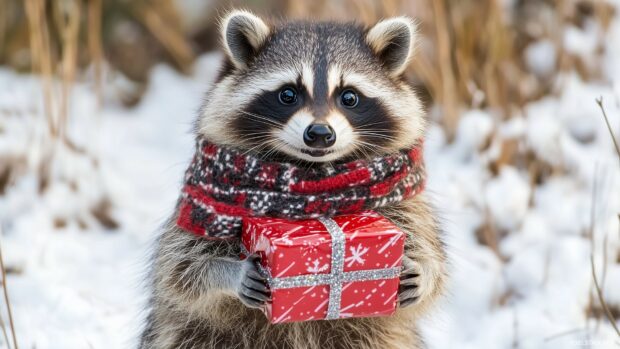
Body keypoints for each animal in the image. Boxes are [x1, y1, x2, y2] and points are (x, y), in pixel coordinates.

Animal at [139, 10, 446, 348]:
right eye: (288, 94)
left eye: (349, 97)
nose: (320, 133)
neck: (313, 176)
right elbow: (180, 268)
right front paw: (227, 272)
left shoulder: (405, 199)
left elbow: (430, 251)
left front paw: (424, 271)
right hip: (192, 333)